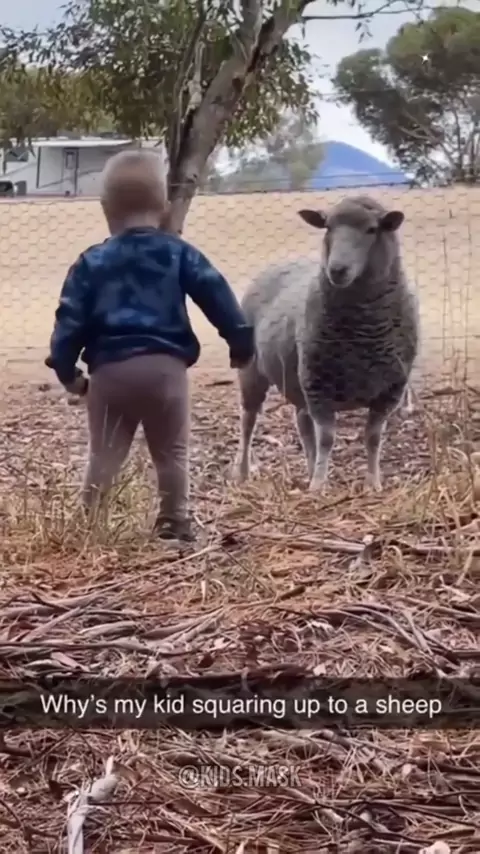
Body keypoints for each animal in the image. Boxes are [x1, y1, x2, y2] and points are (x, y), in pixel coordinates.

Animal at [232, 194, 419, 492]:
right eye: (328, 226)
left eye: (372, 229)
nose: (337, 270)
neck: (362, 333)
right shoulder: (319, 387)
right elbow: (327, 439)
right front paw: (319, 486)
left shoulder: (389, 390)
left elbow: (373, 437)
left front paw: (373, 483)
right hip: (254, 371)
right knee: (248, 420)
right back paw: (243, 472)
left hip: (298, 379)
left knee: (302, 423)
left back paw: (308, 470)